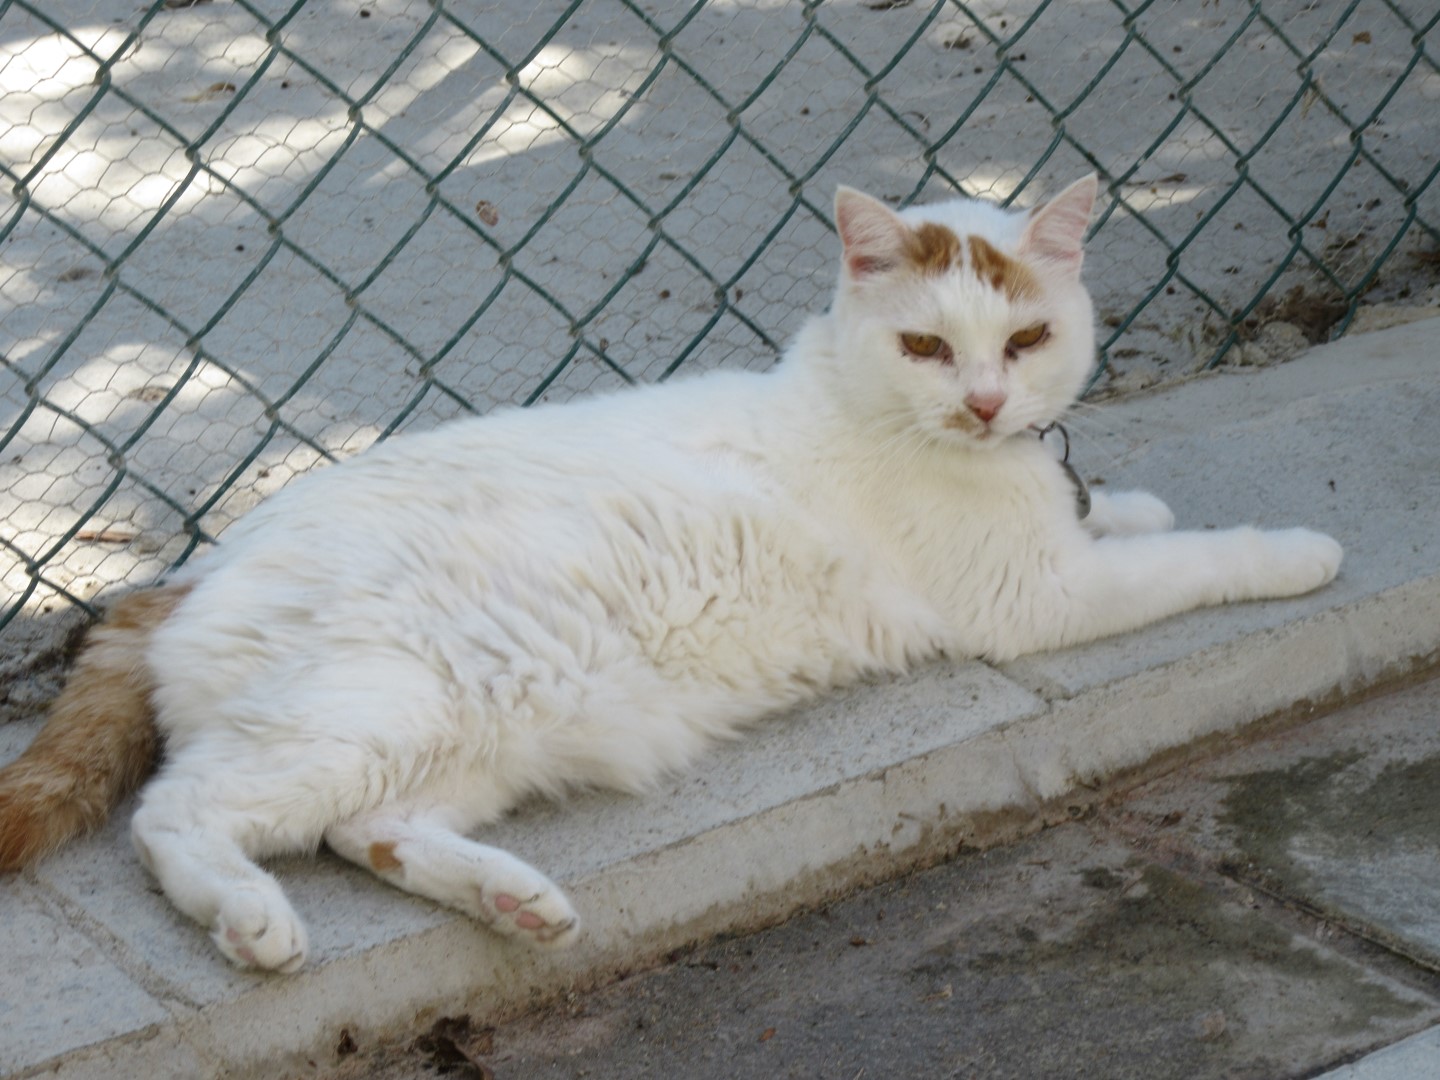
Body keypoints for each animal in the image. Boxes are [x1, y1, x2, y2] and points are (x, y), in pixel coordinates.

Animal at [0, 175, 1343, 973]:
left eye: (1025, 340)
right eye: (925, 345)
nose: (983, 402)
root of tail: (187, 573)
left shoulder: (1051, 533)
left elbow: (1117, 515)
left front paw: (1125, 499)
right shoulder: (1035, 602)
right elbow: (1192, 560)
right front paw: (1297, 549)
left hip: (465, 731)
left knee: (365, 832)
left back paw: (514, 902)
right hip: (377, 706)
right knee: (183, 815)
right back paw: (253, 921)